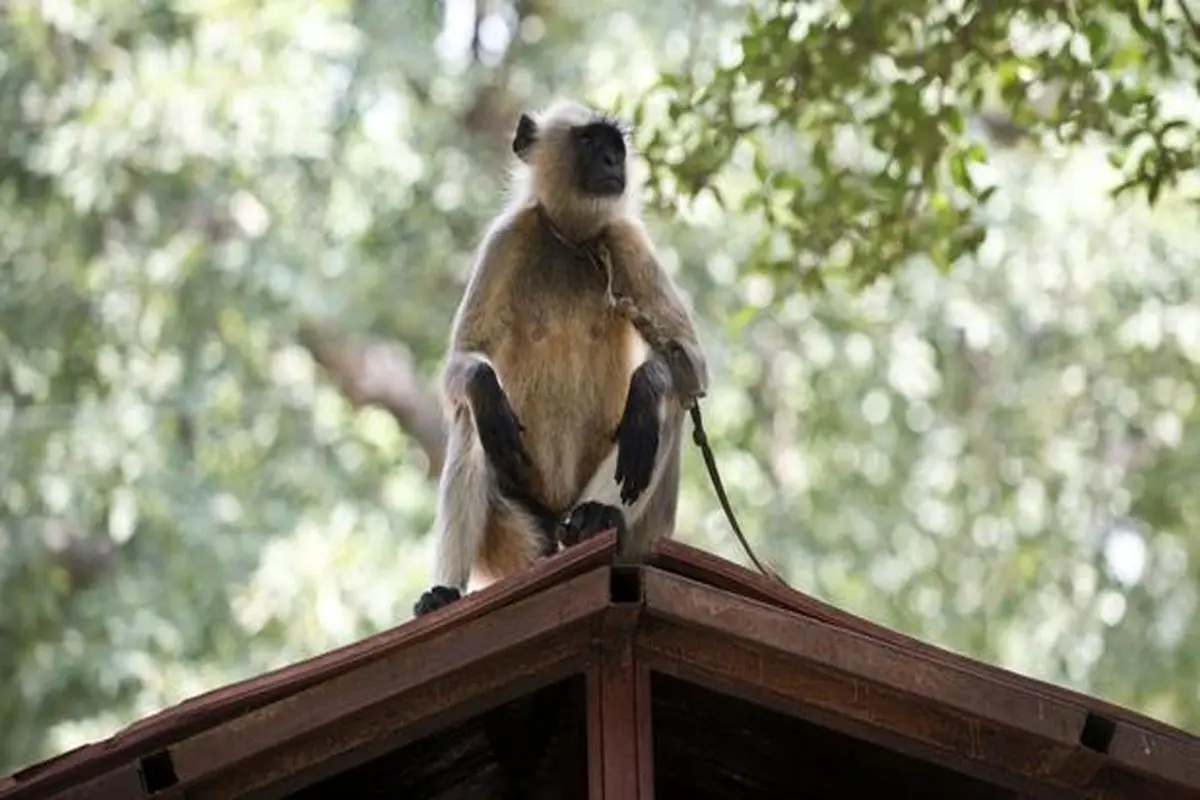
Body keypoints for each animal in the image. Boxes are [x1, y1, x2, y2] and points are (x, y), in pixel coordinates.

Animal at [415, 97, 705, 618]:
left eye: (614, 146)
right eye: (590, 142)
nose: (613, 162)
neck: (571, 238)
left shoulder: (625, 237)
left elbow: (690, 363)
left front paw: (647, 390)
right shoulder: (507, 237)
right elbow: (464, 367)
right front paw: (483, 387)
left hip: (641, 532)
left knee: (668, 406)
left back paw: (597, 514)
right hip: (517, 537)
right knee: (474, 416)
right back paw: (444, 593)